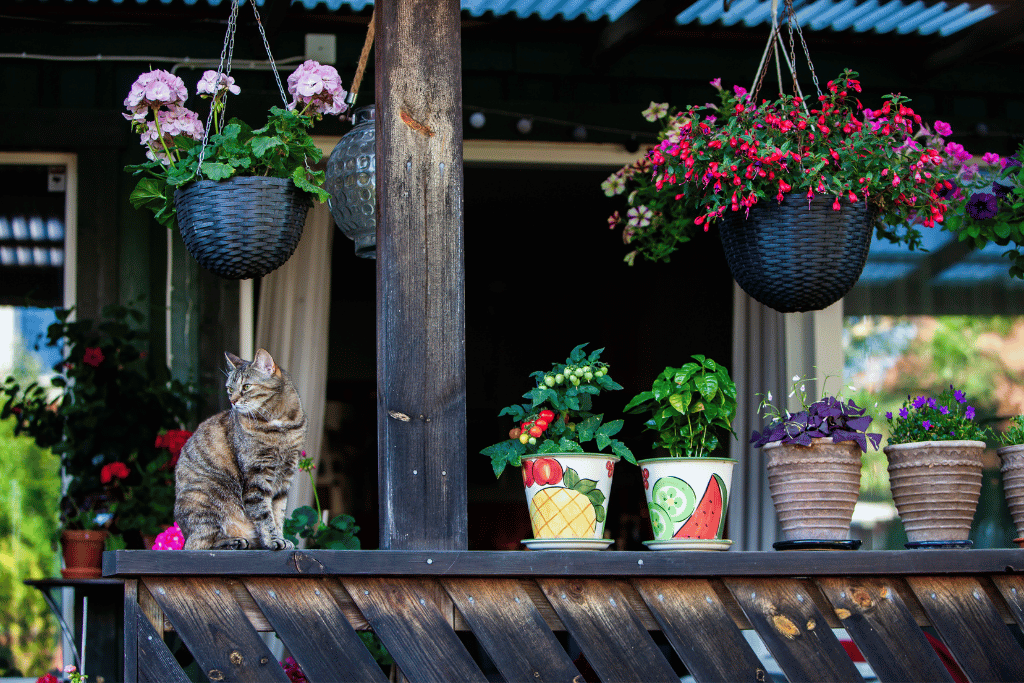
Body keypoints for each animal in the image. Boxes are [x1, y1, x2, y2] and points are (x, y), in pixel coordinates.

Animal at [172, 350, 305, 552]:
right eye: (229, 389)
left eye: (246, 387)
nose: (232, 401)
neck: (280, 425)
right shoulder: (257, 476)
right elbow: (264, 515)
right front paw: (273, 540)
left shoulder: (285, 477)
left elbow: (278, 513)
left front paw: (281, 537)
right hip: (204, 496)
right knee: (198, 545)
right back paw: (234, 541)